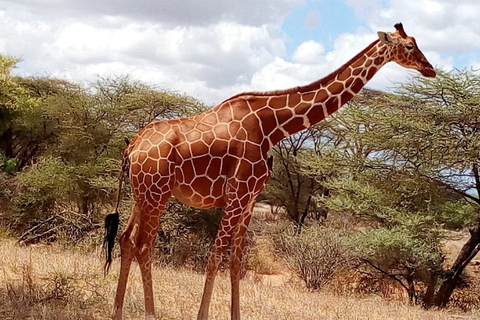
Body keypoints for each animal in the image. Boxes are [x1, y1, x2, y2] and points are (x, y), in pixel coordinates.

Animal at [105, 23, 436, 320]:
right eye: (410, 46)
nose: (430, 69)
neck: (272, 126)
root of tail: (132, 147)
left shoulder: (250, 198)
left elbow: (236, 260)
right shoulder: (237, 193)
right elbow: (215, 254)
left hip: (141, 193)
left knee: (126, 240)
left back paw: (117, 312)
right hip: (157, 193)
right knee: (144, 246)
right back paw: (149, 313)